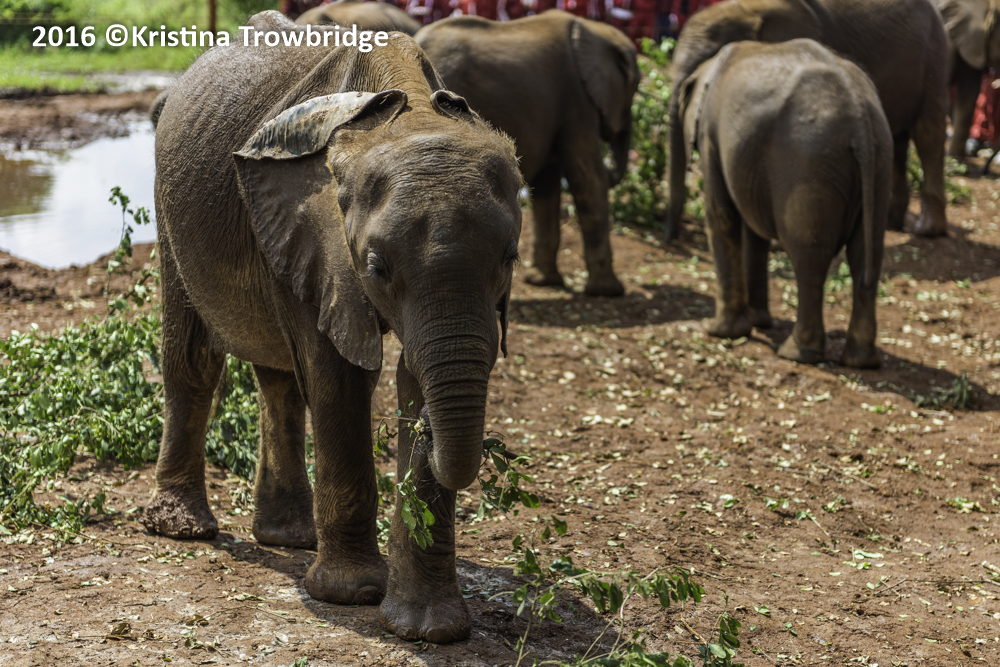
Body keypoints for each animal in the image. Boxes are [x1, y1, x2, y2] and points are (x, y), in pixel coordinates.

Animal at [142, 11, 522, 644]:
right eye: (377, 266)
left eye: (510, 260)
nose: (428, 435)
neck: (404, 110)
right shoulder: (311, 230)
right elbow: (340, 376)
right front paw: (353, 595)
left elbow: (408, 374)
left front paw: (428, 629)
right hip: (169, 209)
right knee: (195, 360)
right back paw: (183, 529)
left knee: (278, 380)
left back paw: (289, 538)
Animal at [416, 10, 640, 297]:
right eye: (633, 90)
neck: (594, 29)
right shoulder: (578, 100)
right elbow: (587, 179)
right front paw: (608, 292)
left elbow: (547, 183)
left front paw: (542, 281)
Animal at [666, 0, 950, 239]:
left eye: (711, 58)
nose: (673, 236)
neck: (747, 8)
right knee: (898, 142)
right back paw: (891, 224)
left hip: (934, 55)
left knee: (928, 135)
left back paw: (927, 231)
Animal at [678, 38, 892, 368]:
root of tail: (859, 116)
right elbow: (753, 231)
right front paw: (759, 323)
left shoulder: (711, 137)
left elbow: (721, 216)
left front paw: (721, 332)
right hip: (879, 161)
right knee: (865, 254)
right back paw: (861, 361)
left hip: (807, 163)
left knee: (809, 257)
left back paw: (796, 354)